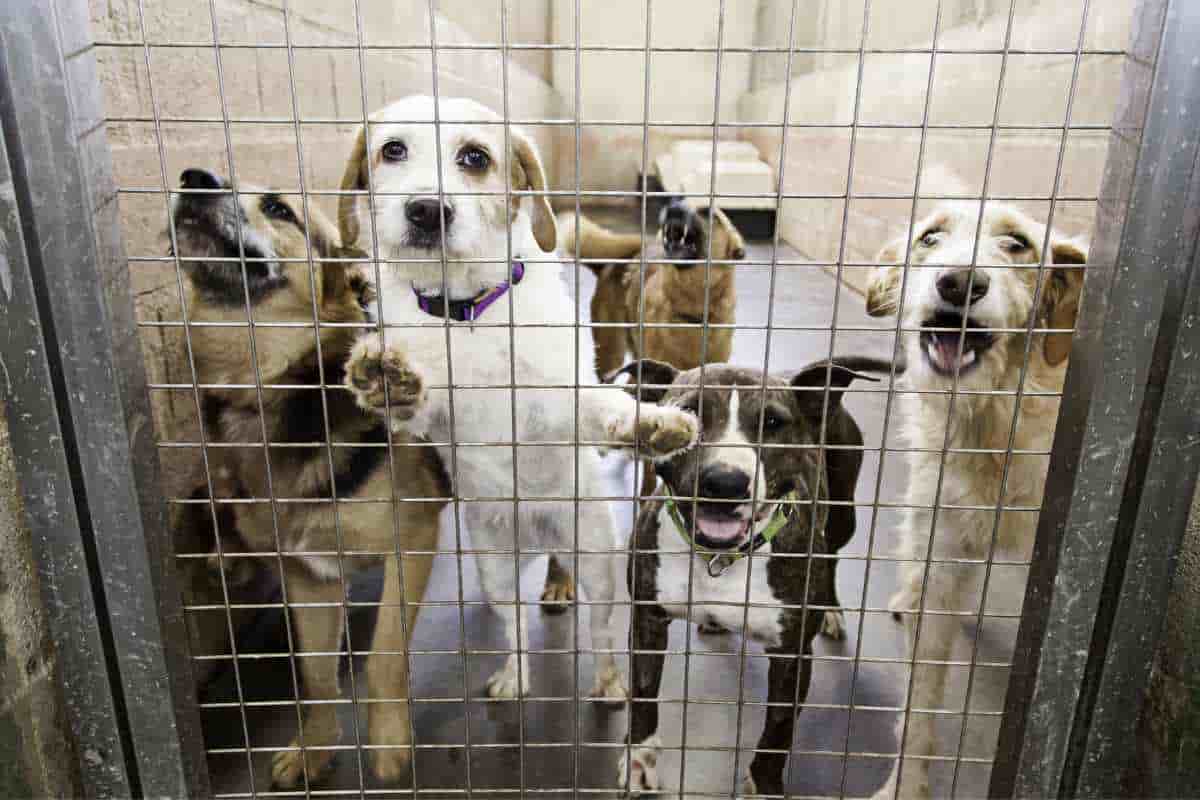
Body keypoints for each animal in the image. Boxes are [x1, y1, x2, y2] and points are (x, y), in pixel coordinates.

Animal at [170, 169, 451, 786]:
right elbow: (317, 675)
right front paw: (315, 746)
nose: (194, 178)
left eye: (279, 209)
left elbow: (383, 657)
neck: (264, 389)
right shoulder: (307, 572)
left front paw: (389, 740)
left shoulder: (412, 540)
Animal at [864, 201, 1089, 800]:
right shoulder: (941, 552)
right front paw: (905, 785)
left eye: (1016, 245)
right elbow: (918, 706)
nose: (960, 282)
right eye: (930, 238)